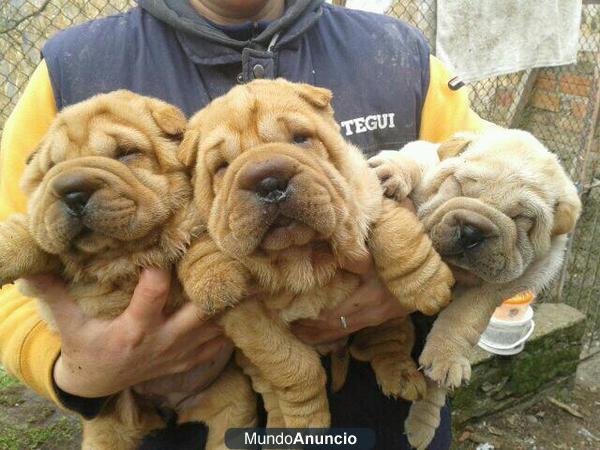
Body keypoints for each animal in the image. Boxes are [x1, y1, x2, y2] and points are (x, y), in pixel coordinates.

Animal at [0, 91, 255, 450]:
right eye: (51, 168)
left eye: (125, 154)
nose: (71, 188)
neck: (121, 256)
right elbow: (32, 227)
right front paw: (7, 248)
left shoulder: (196, 215)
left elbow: (199, 242)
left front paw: (217, 282)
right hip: (108, 427)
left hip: (232, 403)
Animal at [177, 79, 454, 430]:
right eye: (221, 167)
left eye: (300, 138)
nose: (269, 179)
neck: (302, 257)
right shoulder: (247, 318)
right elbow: (293, 369)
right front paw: (305, 421)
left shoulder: (366, 195)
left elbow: (394, 232)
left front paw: (428, 285)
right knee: (270, 387)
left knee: (389, 337)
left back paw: (401, 376)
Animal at [370, 128, 580, 448]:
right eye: (460, 185)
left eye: (521, 218)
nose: (471, 231)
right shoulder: (430, 161)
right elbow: (416, 159)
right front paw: (392, 171)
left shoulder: (508, 282)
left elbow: (465, 315)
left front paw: (447, 355)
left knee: (433, 383)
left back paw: (421, 421)